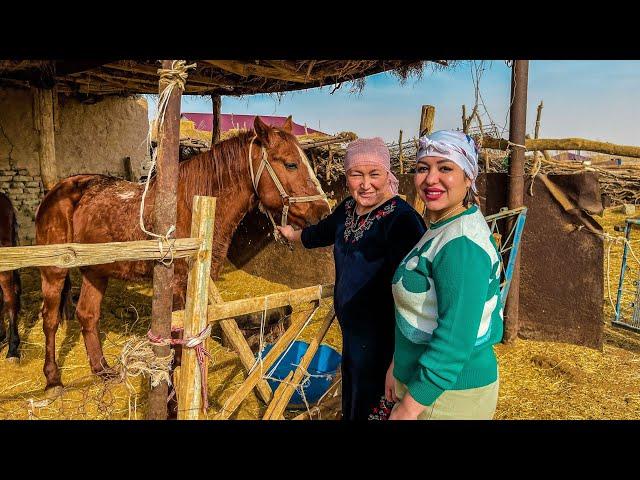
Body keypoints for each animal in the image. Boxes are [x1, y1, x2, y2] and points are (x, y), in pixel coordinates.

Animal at [36, 117, 330, 394]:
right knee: (50, 320)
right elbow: (178, 342)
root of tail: (57, 190)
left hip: (95, 271)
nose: (323, 211)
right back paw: (53, 379)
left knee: (87, 315)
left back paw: (102, 370)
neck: (193, 207)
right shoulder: (178, 287)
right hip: (54, 272)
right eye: (290, 164)